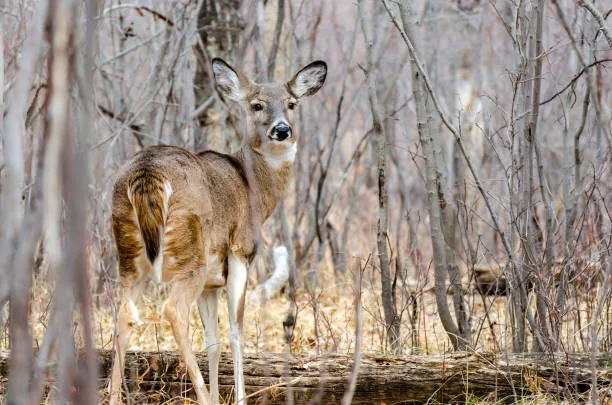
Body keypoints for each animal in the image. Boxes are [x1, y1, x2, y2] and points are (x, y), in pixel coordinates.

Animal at [107, 57, 328, 404]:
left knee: (124, 314)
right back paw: (201, 396)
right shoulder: (241, 251)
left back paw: (114, 396)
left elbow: (212, 341)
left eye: (292, 103)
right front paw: (237, 397)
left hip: (128, 253)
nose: (282, 130)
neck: (255, 188)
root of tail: (147, 174)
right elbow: (236, 332)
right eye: (256, 104)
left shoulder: (212, 282)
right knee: (173, 311)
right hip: (189, 251)